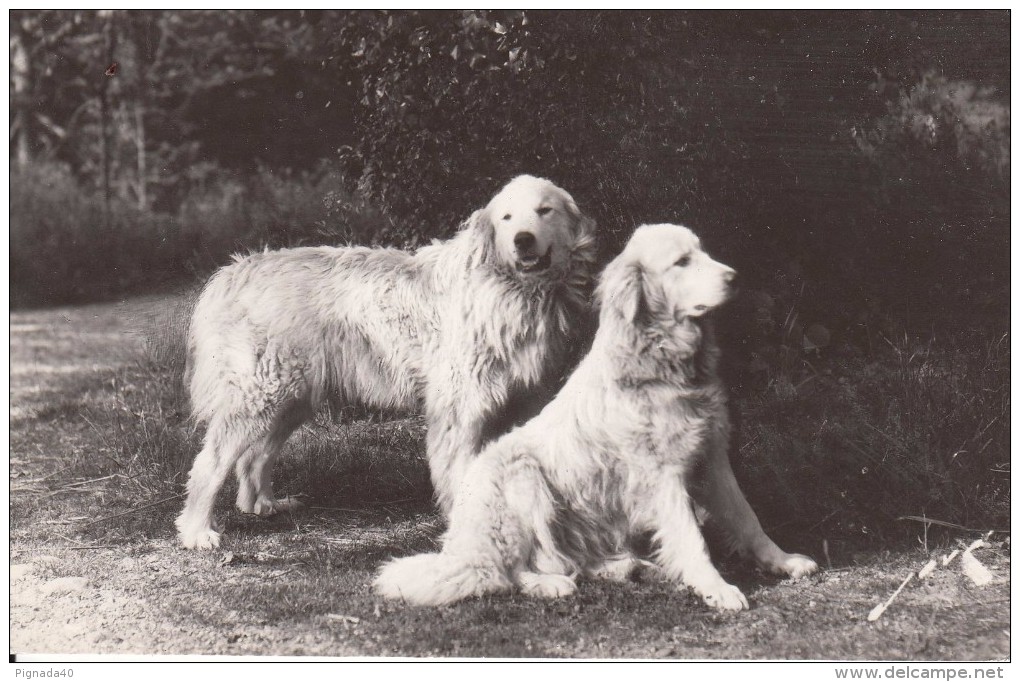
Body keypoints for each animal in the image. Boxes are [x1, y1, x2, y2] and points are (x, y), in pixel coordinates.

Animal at [171, 174, 595, 546]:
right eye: (507, 217)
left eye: (544, 210)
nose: (523, 241)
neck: (508, 288)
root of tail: (234, 270)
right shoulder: (460, 410)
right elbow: (461, 475)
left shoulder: (522, 402)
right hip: (263, 393)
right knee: (211, 462)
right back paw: (197, 531)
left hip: (292, 397)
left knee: (254, 457)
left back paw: (263, 504)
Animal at [375, 224, 820, 611]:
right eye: (681, 262)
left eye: (703, 252)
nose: (735, 278)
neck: (662, 362)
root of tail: (458, 548)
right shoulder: (661, 475)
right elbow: (692, 538)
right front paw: (716, 587)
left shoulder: (712, 457)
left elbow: (748, 518)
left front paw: (782, 560)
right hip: (522, 479)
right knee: (505, 572)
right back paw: (551, 584)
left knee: (565, 560)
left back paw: (628, 567)